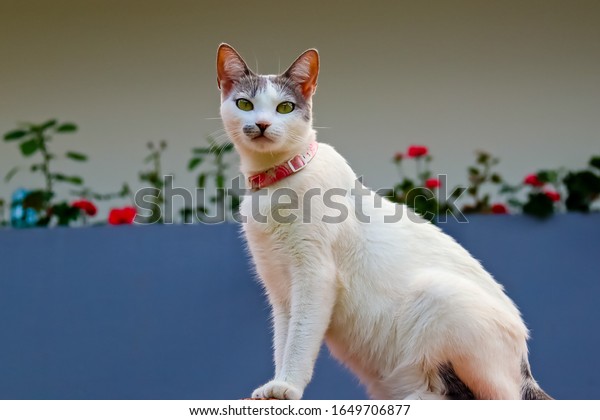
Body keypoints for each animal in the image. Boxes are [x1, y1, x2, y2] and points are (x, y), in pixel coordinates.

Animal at [218, 43, 552, 400]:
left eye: (284, 107)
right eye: (245, 104)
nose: (263, 124)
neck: (275, 183)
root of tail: (526, 370)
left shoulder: (314, 276)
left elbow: (300, 340)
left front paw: (287, 386)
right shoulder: (280, 289)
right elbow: (283, 341)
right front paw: (275, 385)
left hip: (437, 295)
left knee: (479, 394)